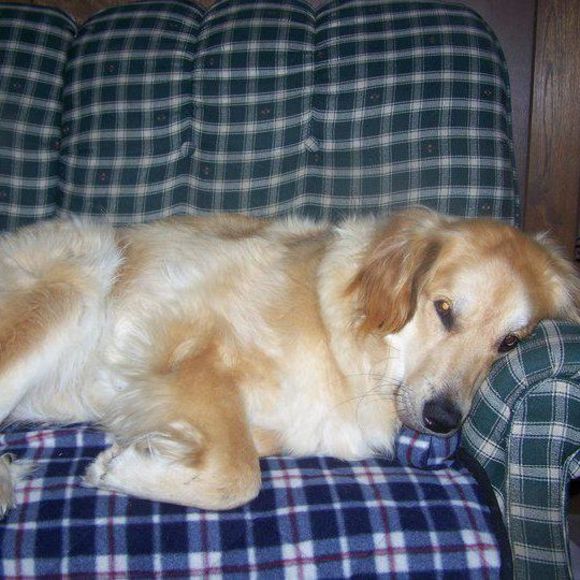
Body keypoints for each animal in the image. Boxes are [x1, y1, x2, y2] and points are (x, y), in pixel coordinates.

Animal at [0, 208, 578, 514]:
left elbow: (242, 450)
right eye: (444, 309)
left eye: (510, 342)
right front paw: (120, 469)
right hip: (77, 278)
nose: (443, 420)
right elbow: (238, 477)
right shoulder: (185, 346)